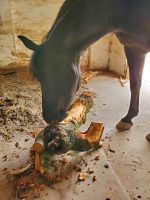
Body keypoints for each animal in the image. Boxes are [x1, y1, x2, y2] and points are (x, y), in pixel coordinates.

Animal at [17, 0, 150, 133]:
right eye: (38, 76)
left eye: (60, 72)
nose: (50, 117)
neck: (122, 9)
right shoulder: (134, 48)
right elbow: (135, 84)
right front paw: (128, 119)